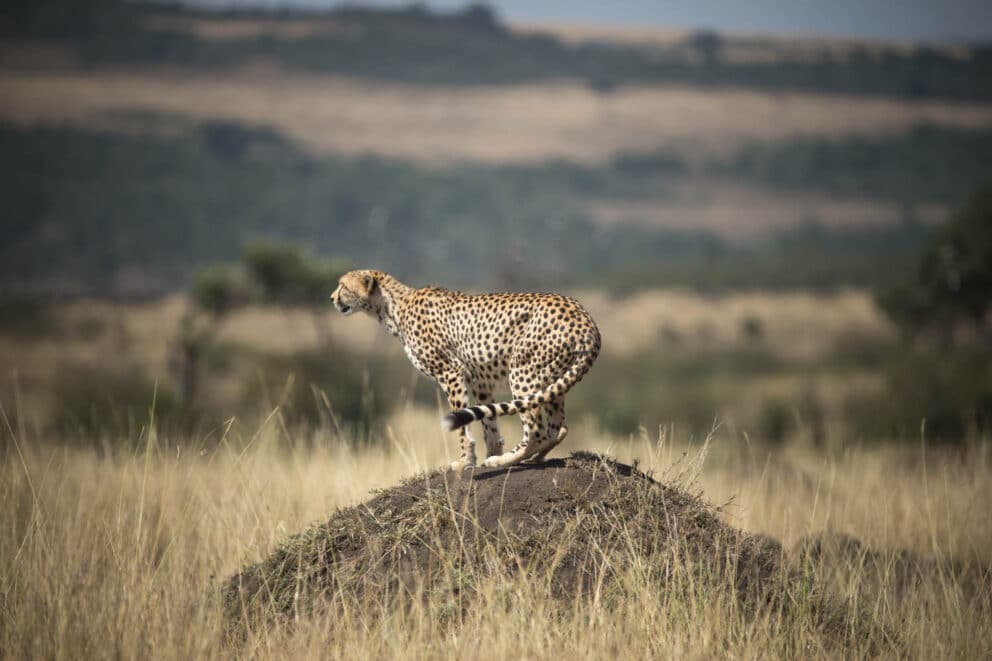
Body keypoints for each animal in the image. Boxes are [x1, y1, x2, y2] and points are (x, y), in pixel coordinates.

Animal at [330, 269, 601, 471]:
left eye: (343, 286)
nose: (332, 298)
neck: (393, 307)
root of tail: (585, 319)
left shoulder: (451, 372)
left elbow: (462, 424)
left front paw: (465, 462)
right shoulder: (480, 383)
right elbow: (488, 423)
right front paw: (488, 453)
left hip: (523, 373)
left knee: (537, 429)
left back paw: (505, 460)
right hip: (551, 378)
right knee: (558, 427)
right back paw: (532, 458)